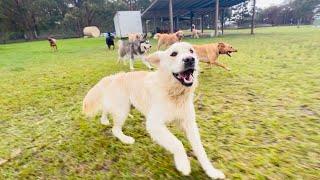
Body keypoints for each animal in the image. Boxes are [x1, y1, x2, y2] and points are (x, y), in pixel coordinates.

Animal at [84, 41, 226, 179]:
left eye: (191, 51)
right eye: (173, 54)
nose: (190, 59)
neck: (174, 94)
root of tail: (116, 76)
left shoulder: (190, 124)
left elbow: (201, 150)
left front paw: (212, 171)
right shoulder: (154, 124)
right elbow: (177, 143)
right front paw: (183, 164)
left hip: (124, 106)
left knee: (106, 108)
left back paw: (105, 120)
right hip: (122, 110)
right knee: (115, 129)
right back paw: (125, 138)